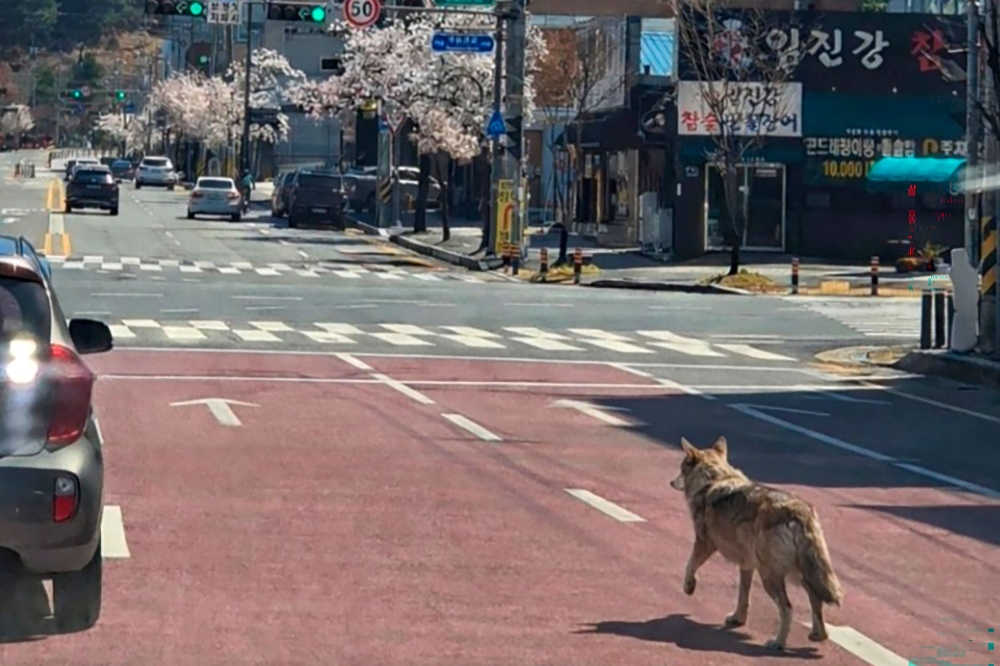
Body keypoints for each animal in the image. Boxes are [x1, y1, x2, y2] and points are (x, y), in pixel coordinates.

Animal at [669, 436, 843, 650]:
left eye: (681, 469)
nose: (671, 482)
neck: (714, 480)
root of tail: (800, 512)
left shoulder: (704, 543)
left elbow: (690, 565)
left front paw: (689, 587)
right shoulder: (746, 565)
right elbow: (743, 596)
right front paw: (738, 619)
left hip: (770, 576)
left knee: (788, 609)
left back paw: (778, 643)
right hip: (801, 574)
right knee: (816, 600)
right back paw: (818, 635)